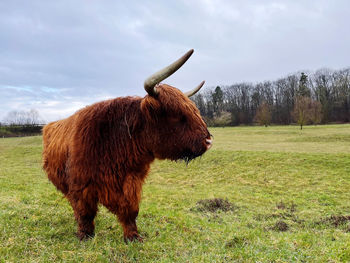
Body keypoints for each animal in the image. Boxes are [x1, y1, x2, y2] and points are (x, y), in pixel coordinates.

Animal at [41, 49, 211, 243]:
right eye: (177, 115)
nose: (208, 141)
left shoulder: (131, 181)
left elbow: (130, 211)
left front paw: (133, 236)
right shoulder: (81, 185)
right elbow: (85, 212)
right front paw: (85, 235)